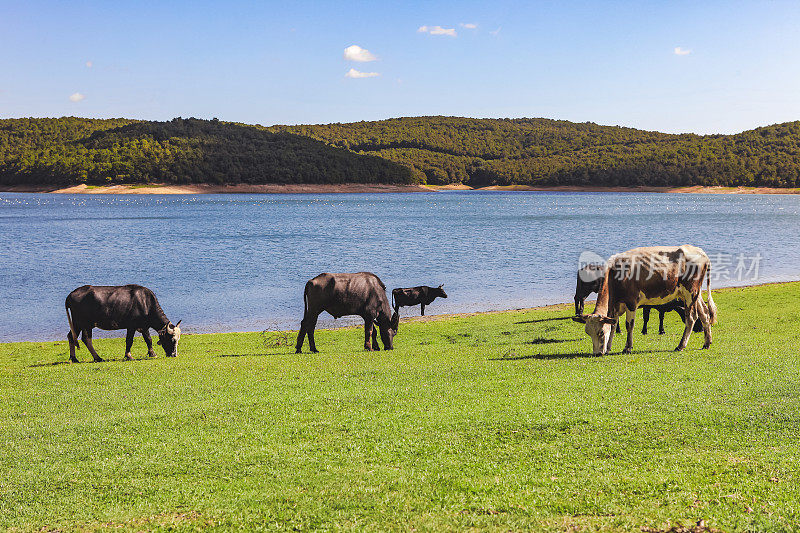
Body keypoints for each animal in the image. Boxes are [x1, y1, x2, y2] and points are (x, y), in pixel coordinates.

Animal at [572, 244, 716, 354]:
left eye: (601, 332)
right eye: (588, 332)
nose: (597, 353)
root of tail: (701, 252)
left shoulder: (631, 302)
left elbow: (629, 325)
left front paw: (627, 348)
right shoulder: (616, 305)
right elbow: (613, 325)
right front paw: (608, 348)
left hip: (690, 292)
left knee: (691, 318)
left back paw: (680, 345)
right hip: (695, 294)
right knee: (705, 313)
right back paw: (707, 343)